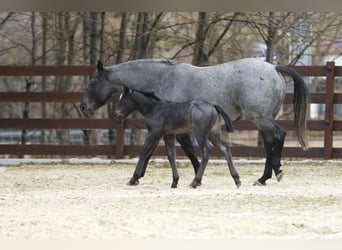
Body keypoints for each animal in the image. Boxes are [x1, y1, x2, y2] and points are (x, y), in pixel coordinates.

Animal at [81, 58, 310, 186]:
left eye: (92, 82)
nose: (83, 108)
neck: (162, 78)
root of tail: (274, 69)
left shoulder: (176, 130)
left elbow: (188, 153)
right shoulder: (169, 130)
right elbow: (158, 152)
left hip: (261, 119)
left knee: (279, 136)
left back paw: (274, 173)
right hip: (262, 120)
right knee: (271, 141)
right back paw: (264, 178)